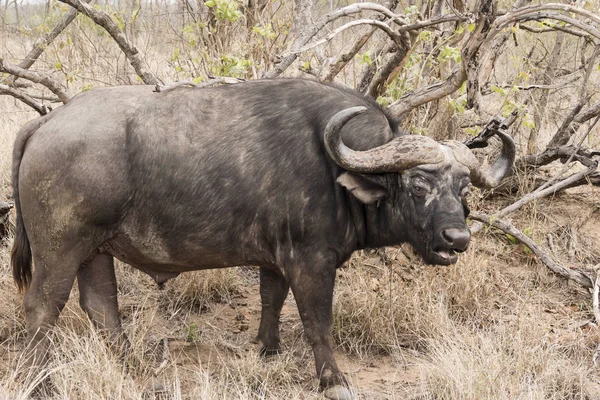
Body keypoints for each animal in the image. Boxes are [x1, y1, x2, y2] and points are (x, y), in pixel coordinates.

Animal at [11, 78, 512, 396]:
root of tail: (47, 122)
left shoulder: (275, 259)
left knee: (101, 307)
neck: (333, 168)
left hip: (96, 250)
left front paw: (267, 350)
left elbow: (272, 299)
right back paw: (44, 383)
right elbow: (317, 321)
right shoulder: (311, 260)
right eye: (418, 186)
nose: (457, 238)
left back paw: (135, 369)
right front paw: (333, 380)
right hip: (60, 251)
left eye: (464, 190)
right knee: (42, 309)